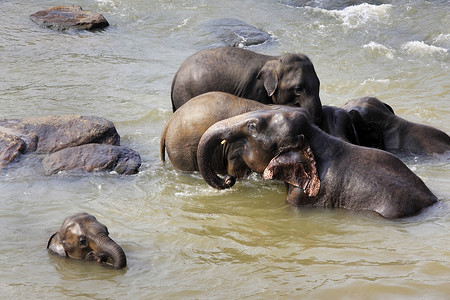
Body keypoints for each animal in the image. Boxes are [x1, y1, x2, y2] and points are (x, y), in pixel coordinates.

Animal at [170, 46, 324, 123]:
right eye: (298, 89)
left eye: (319, 84)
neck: (274, 59)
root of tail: (176, 75)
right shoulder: (254, 90)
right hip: (185, 95)